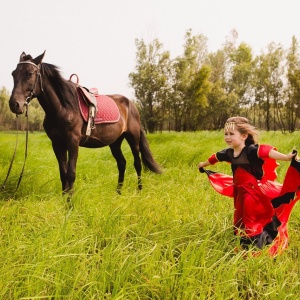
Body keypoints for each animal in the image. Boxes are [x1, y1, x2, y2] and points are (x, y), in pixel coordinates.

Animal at [8, 51, 162, 195]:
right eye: (13, 74)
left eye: (30, 74)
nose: (14, 104)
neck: (64, 108)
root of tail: (132, 105)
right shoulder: (57, 144)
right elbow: (63, 174)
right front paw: (64, 200)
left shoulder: (73, 142)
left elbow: (71, 174)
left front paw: (70, 203)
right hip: (115, 142)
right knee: (122, 163)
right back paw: (118, 192)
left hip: (133, 138)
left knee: (137, 163)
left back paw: (139, 191)